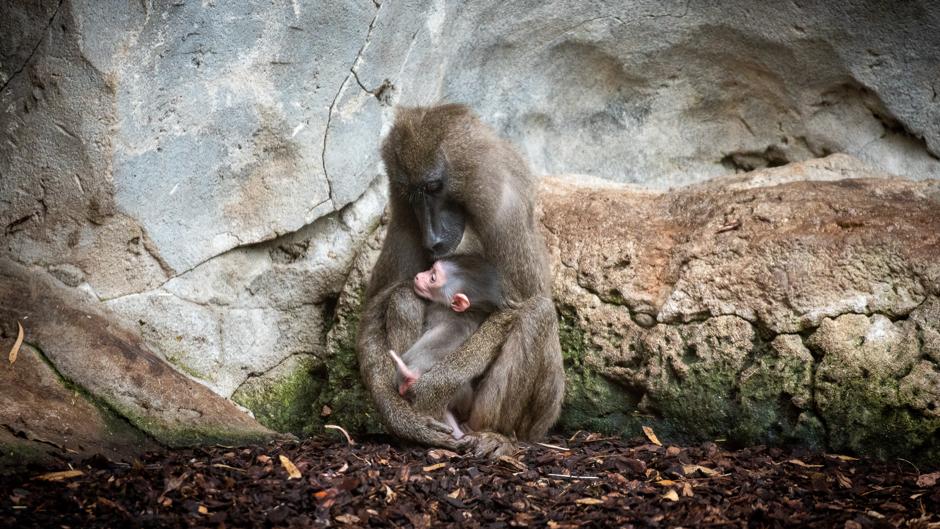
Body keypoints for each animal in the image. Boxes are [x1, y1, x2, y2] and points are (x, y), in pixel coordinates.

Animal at [388, 254, 506, 440]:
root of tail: (414, 369)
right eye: (431, 269)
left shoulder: (435, 309)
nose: (418, 276)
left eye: (432, 278)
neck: (466, 312)